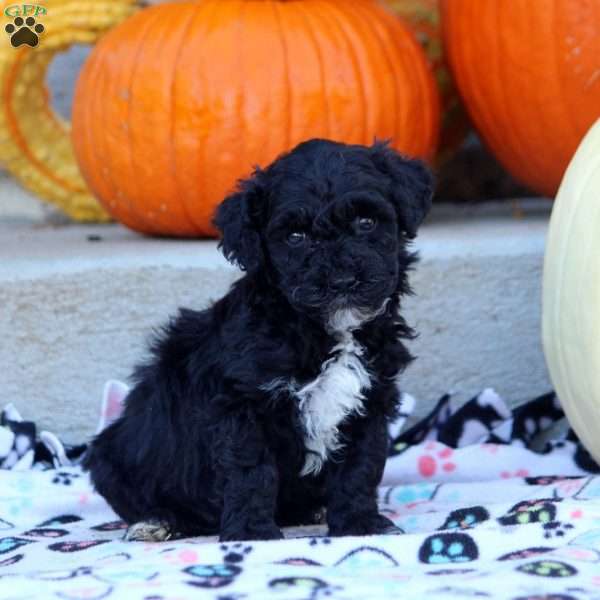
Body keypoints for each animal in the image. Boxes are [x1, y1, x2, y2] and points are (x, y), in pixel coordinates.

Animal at [85, 138, 432, 540]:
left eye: (366, 222)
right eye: (295, 237)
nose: (343, 281)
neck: (323, 329)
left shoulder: (370, 400)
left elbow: (360, 467)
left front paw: (360, 525)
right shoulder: (241, 403)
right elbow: (252, 470)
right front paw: (252, 534)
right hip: (114, 454)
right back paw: (157, 521)